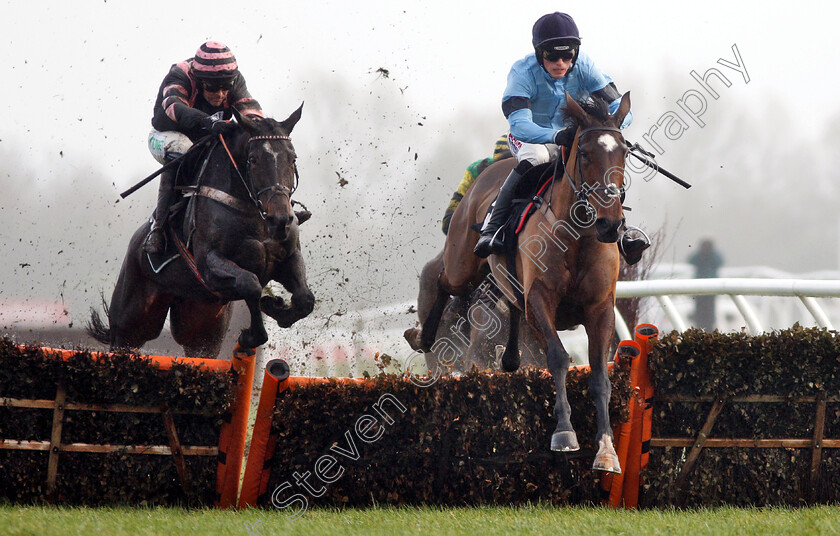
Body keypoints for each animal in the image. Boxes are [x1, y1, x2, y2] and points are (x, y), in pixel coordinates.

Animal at [88, 105, 316, 358]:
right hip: (130, 324)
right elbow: (251, 284)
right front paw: (252, 331)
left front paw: (277, 309)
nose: (280, 220)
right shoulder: (208, 265)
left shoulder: (288, 257)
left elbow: (305, 299)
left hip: (201, 331)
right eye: (253, 159)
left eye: (292, 158)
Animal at [410, 93, 632, 474]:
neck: (577, 237)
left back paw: (509, 356)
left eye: (624, 153)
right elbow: (557, 358)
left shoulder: (600, 307)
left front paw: (606, 451)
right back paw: (424, 335)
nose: (609, 223)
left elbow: (600, 375)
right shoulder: (541, 299)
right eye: (585, 153)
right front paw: (564, 433)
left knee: (509, 305)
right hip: (463, 262)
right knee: (440, 278)